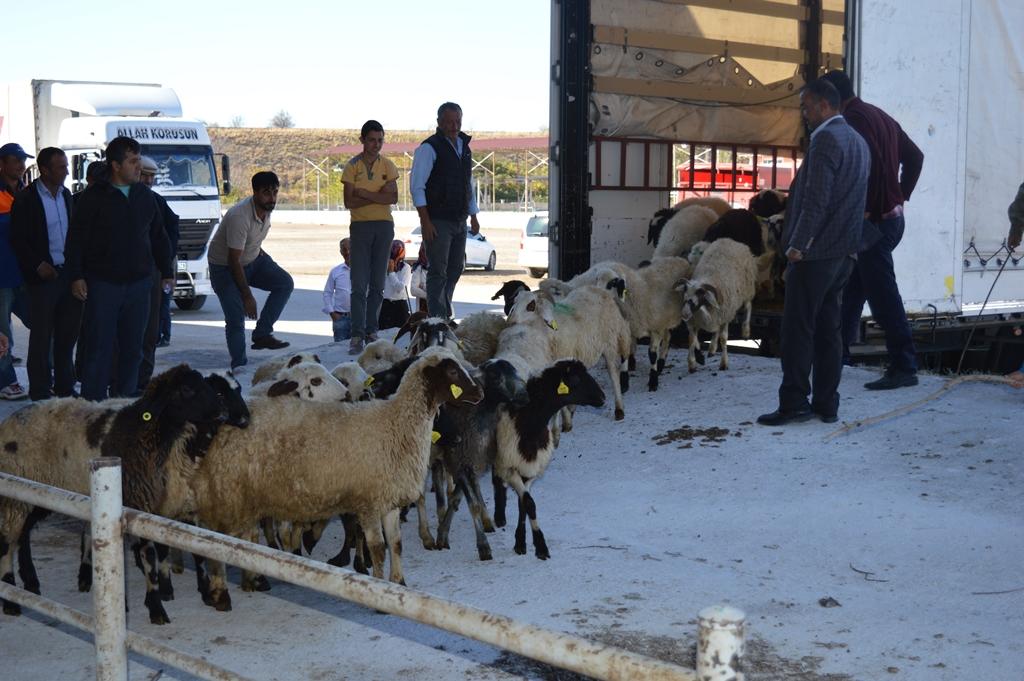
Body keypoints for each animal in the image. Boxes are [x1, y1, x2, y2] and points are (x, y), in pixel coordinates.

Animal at [0, 364, 232, 622]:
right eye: (187, 389)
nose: (223, 413)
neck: (148, 434)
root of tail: (9, 420)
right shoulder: (139, 505)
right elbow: (149, 559)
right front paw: (155, 608)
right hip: (16, 493)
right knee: (8, 542)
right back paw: (10, 598)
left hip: (35, 493)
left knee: (23, 534)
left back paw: (31, 582)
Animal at [491, 356, 602, 557]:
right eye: (575, 379)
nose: (603, 398)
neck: (529, 420)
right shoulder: (512, 466)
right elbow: (529, 503)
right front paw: (540, 545)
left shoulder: (531, 468)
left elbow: (524, 503)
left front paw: (521, 541)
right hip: (498, 455)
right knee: (496, 479)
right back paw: (499, 515)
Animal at [675, 235, 757, 372]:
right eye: (685, 296)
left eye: (699, 295)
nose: (684, 314)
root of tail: (729, 239)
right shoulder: (695, 321)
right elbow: (691, 339)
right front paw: (692, 364)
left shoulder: (725, 316)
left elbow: (723, 339)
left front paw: (724, 364)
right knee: (716, 329)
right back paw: (712, 348)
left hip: (747, 288)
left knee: (748, 306)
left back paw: (746, 331)